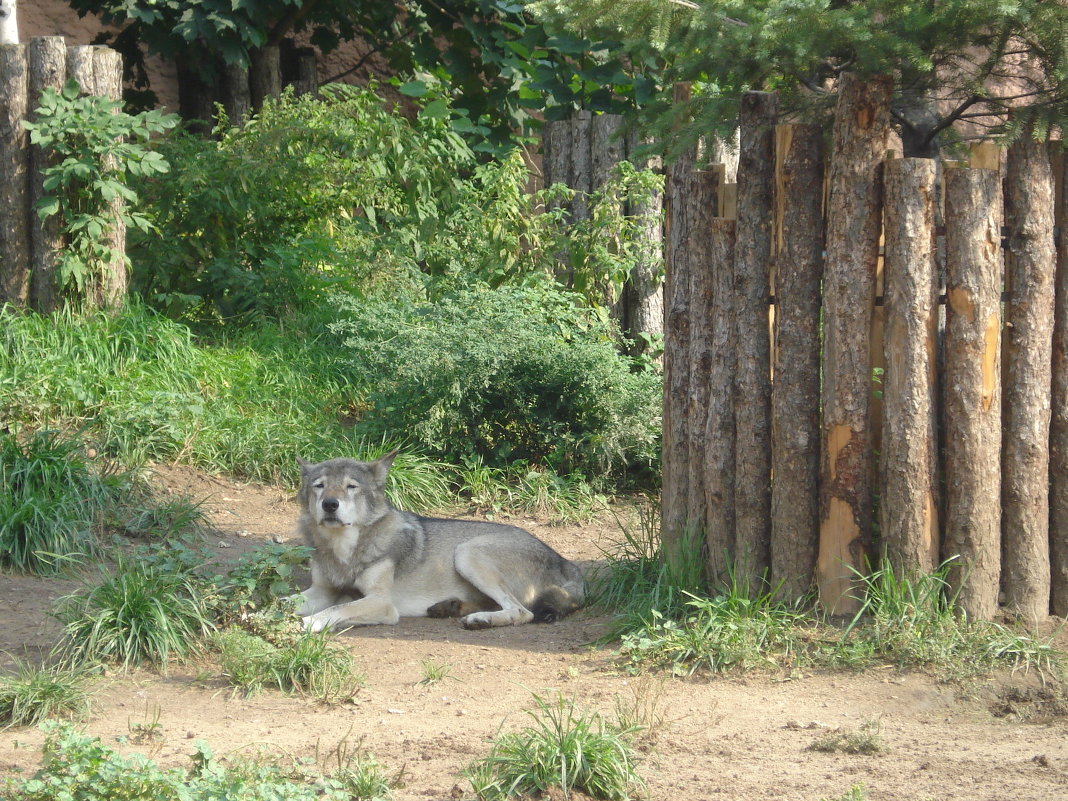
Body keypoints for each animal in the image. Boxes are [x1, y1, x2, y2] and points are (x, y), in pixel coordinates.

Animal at [294, 452, 585, 632]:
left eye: (351, 487)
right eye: (319, 486)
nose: (330, 505)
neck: (343, 550)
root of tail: (564, 560)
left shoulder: (382, 603)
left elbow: (338, 608)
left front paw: (308, 623)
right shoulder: (320, 591)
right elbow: (288, 601)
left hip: (467, 553)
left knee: (522, 611)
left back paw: (479, 619)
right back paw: (449, 608)